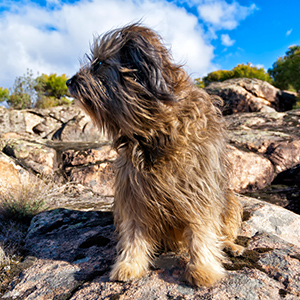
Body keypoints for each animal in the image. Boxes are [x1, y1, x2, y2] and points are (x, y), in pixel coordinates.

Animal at [66, 23, 244, 286]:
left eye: (98, 64)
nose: (69, 81)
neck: (153, 132)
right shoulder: (133, 191)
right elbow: (133, 233)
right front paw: (129, 265)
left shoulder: (200, 188)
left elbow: (201, 230)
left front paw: (203, 268)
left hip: (230, 199)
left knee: (225, 229)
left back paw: (231, 245)